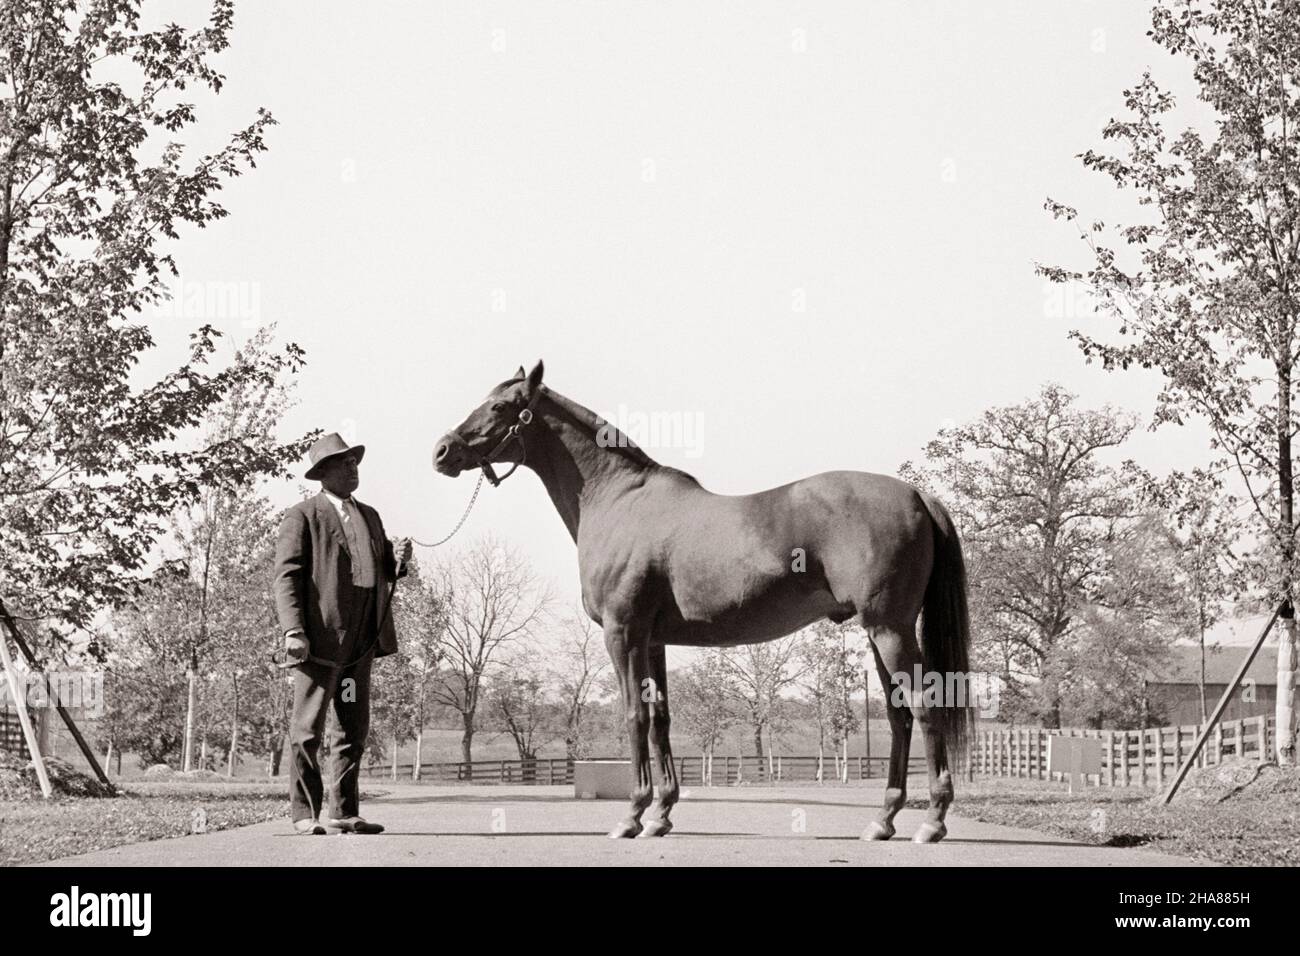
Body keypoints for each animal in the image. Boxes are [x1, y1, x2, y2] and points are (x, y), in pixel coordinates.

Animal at [436, 361, 977, 842]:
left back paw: (931, 822)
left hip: (890, 629)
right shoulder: (652, 640)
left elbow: (633, 716)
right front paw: (660, 815)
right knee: (897, 716)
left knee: (924, 707)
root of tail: (916, 495)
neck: (618, 501)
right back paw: (882, 821)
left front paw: (632, 816)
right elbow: (660, 720)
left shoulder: (622, 633)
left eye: (501, 406)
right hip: (878, 630)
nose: (443, 451)